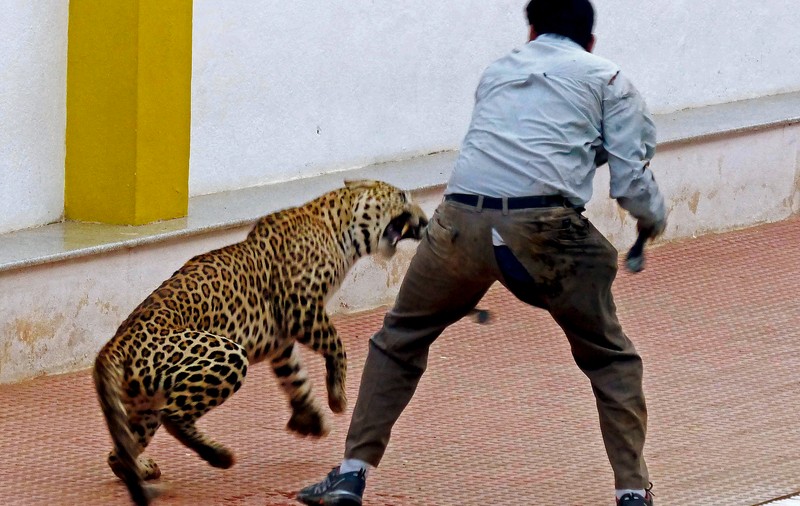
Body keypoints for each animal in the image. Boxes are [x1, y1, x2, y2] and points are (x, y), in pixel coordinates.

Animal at [92, 180, 428, 505]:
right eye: (402, 197)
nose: (426, 221)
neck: (337, 227)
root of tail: (113, 346)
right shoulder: (301, 309)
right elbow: (336, 345)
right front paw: (337, 398)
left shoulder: (281, 340)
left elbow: (295, 376)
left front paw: (310, 418)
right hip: (226, 354)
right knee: (173, 416)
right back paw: (220, 456)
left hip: (143, 405)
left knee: (119, 451)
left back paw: (141, 468)